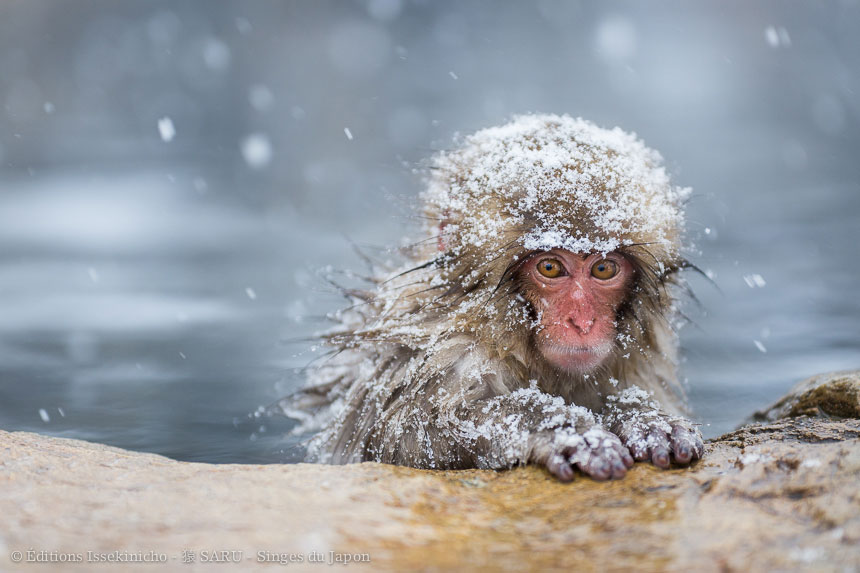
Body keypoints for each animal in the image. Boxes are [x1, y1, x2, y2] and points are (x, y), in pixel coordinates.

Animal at [286, 114, 704, 480]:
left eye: (603, 269)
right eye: (550, 267)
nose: (583, 322)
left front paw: (644, 417)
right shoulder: (424, 356)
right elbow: (407, 439)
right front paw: (558, 426)